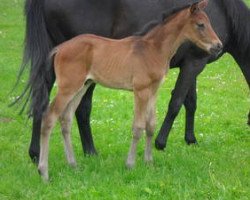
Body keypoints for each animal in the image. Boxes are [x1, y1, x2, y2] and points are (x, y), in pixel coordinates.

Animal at [18, 0, 250, 162]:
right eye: (201, 24)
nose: (217, 46)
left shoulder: (188, 65)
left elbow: (189, 103)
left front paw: (190, 140)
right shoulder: (194, 62)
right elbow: (175, 103)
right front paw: (160, 143)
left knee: (43, 100)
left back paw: (37, 153)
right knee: (79, 108)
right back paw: (89, 152)